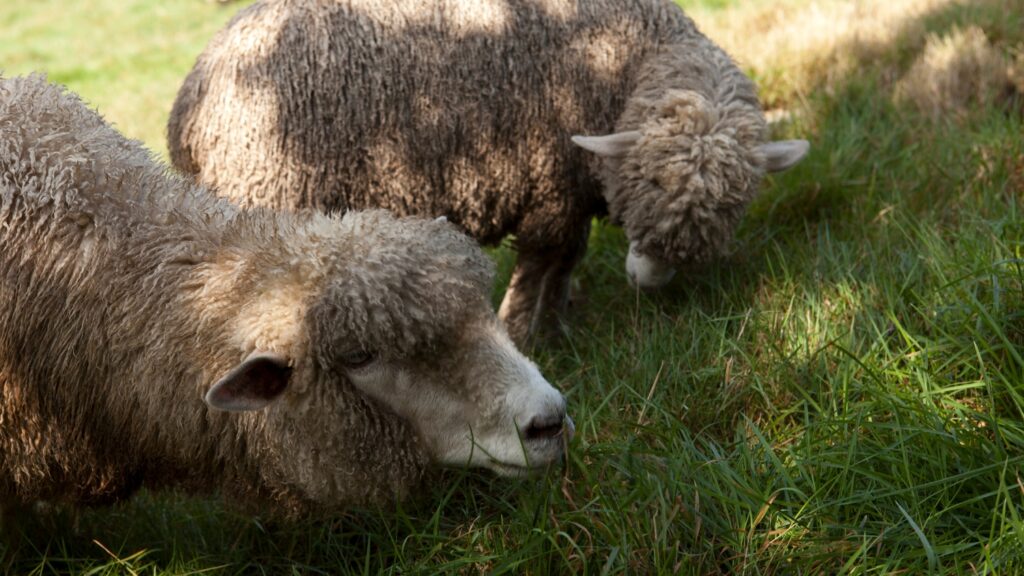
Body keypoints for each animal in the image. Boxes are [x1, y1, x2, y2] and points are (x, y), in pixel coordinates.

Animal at [167, 0, 806, 342]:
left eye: (731, 206)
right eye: (650, 181)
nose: (648, 281)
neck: (622, 61)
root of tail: (193, 100)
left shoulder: (573, 193)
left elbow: (566, 262)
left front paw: (558, 319)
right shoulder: (551, 184)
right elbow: (541, 262)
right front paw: (524, 331)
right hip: (267, 193)